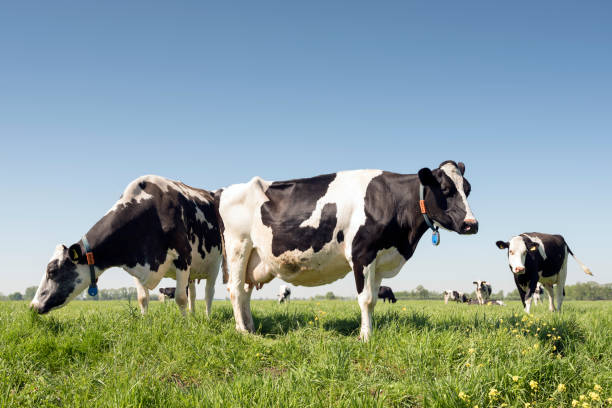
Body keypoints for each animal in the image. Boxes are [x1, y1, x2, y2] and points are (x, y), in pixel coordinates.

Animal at [30, 175, 222, 316]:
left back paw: (207, 318)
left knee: (208, 293)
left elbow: (180, 297)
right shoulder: (136, 260)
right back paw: (193, 316)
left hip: (214, 264)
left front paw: (184, 326)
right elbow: (142, 299)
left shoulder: (183, 256)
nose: (32, 305)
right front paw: (146, 324)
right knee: (193, 295)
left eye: (52, 271)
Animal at [216, 161, 478, 340]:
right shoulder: (362, 254)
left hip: (253, 257)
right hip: (238, 246)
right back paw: (242, 332)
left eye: (468, 189)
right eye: (445, 189)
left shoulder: (379, 260)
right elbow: (366, 299)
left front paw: (368, 332)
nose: (471, 224)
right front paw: (366, 337)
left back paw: (251, 328)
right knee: (235, 290)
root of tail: (224, 190)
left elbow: (373, 299)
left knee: (245, 292)